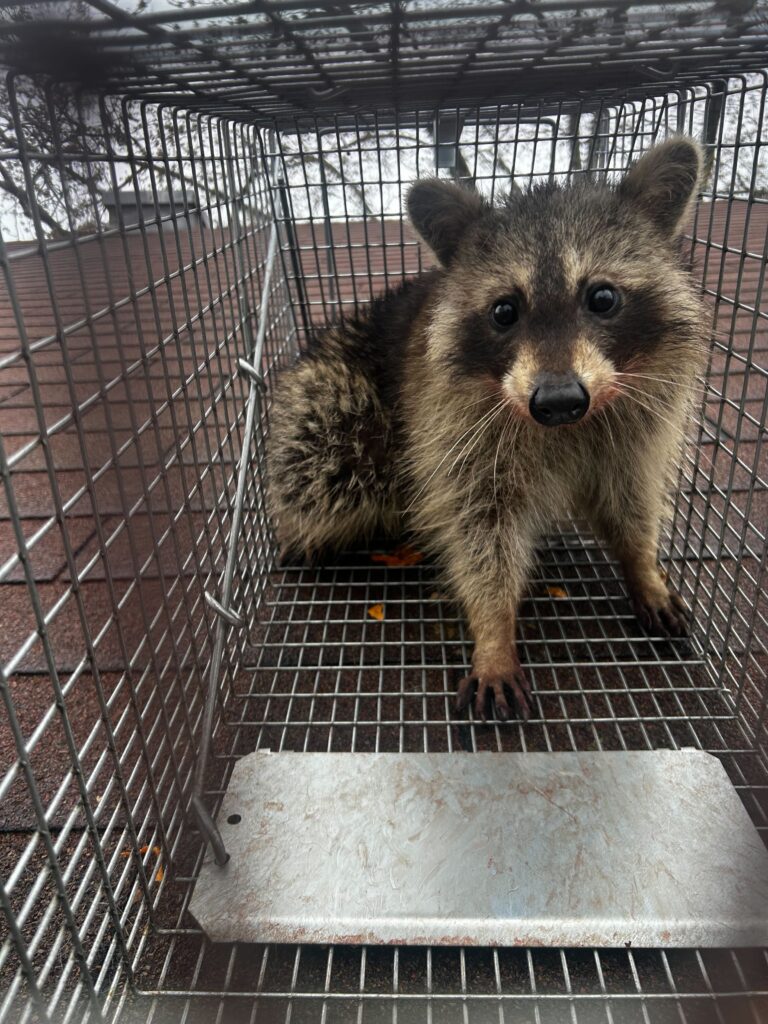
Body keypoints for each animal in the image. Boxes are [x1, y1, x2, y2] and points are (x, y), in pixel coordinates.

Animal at [268, 137, 709, 722]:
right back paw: (315, 531)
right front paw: (495, 630)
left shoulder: (636, 422)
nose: (559, 400)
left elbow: (629, 494)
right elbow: (479, 529)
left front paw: (642, 564)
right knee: (324, 465)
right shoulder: (452, 429)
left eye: (602, 298)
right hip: (332, 398)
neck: (564, 426)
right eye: (504, 311)